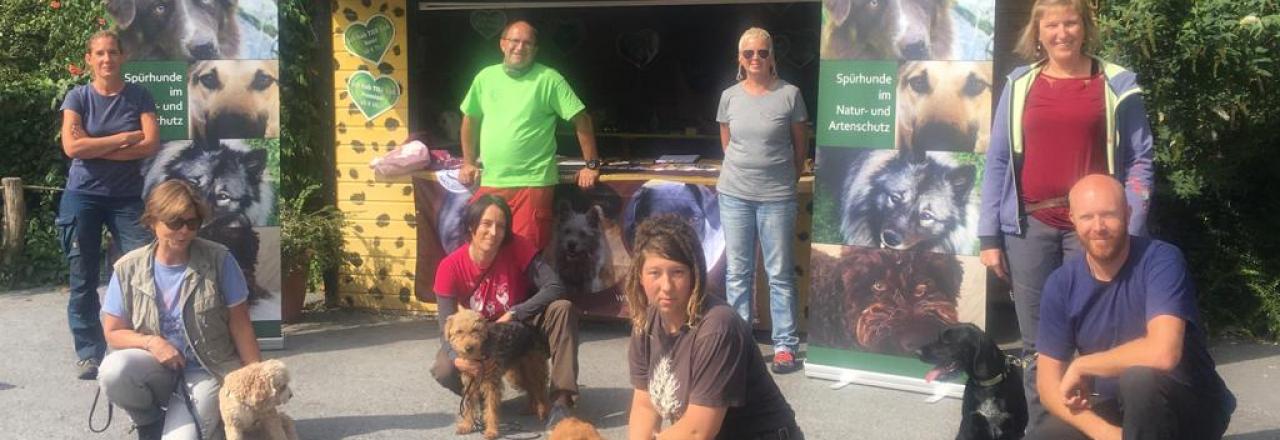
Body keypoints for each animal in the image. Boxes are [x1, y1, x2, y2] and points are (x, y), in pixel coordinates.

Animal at [445, 309, 550, 440]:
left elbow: (491, 409)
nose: (469, 348)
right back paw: (530, 409)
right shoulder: (470, 383)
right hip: (516, 375)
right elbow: (469, 406)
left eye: (475, 330)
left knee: (540, 389)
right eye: (459, 331)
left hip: (533, 368)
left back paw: (543, 411)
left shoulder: (492, 384)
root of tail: (531, 328)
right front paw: (467, 425)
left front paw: (491, 431)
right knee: (531, 388)